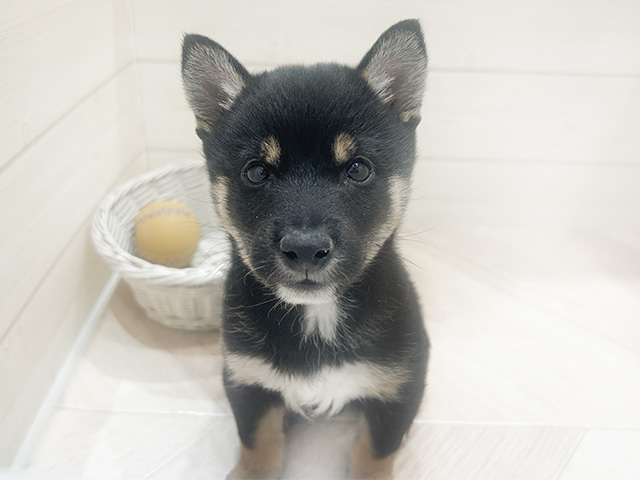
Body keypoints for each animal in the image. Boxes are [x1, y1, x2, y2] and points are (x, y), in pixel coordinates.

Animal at [180, 19, 430, 480]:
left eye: (358, 169)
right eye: (256, 172)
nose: (306, 249)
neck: (317, 317)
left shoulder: (396, 388)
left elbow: (374, 455)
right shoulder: (248, 382)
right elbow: (257, 450)